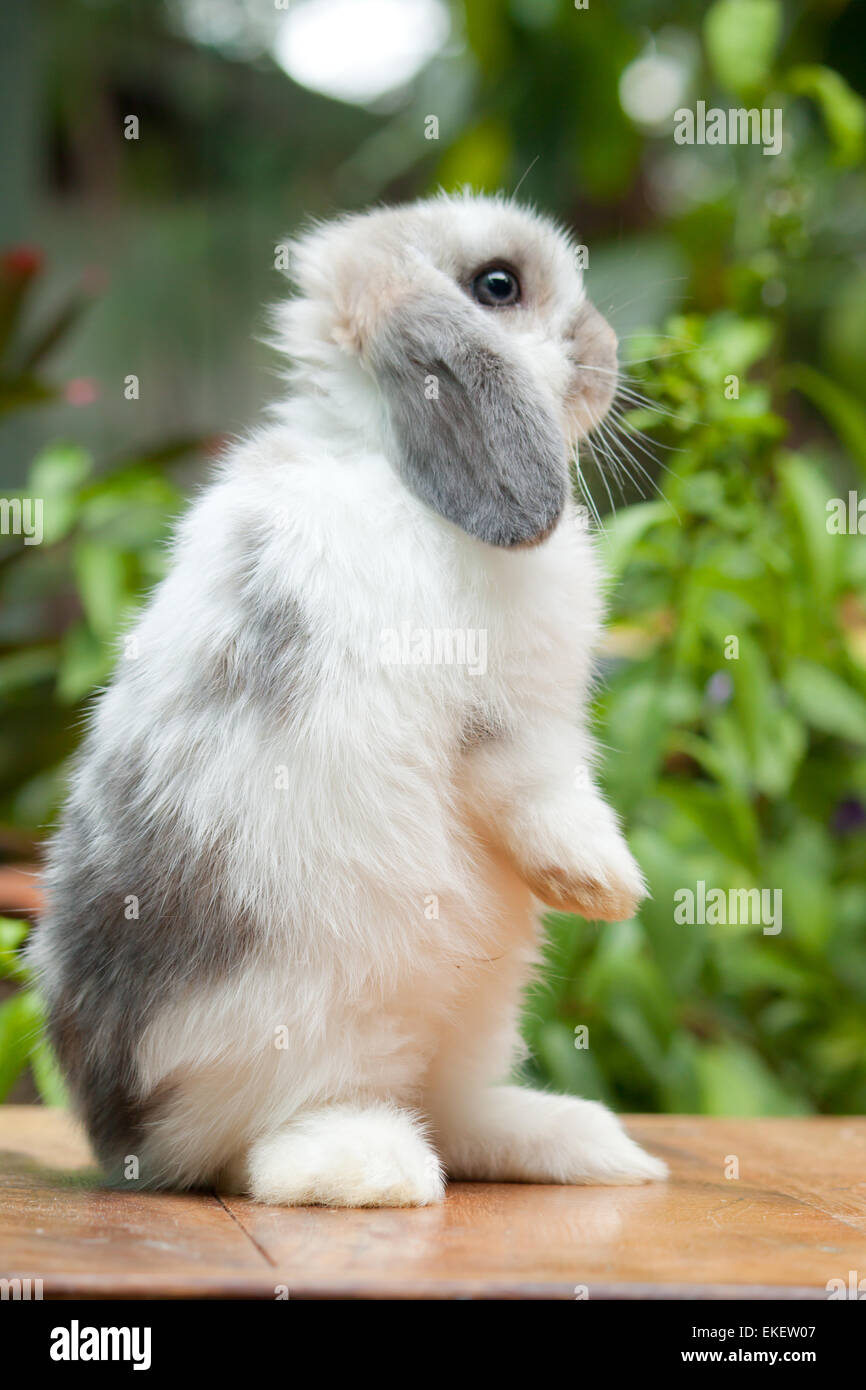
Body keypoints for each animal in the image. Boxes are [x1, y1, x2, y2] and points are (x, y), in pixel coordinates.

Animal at [31, 191, 667, 1206]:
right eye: (499, 286)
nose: (606, 352)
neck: (392, 468)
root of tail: (130, 1142)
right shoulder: (511, 724)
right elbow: (544, 796)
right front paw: (607, 886)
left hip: (473, 1012)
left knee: (451, 1107)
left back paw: (582, 1143)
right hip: (308, 1021)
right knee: (269, 1147)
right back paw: (374, 1165)